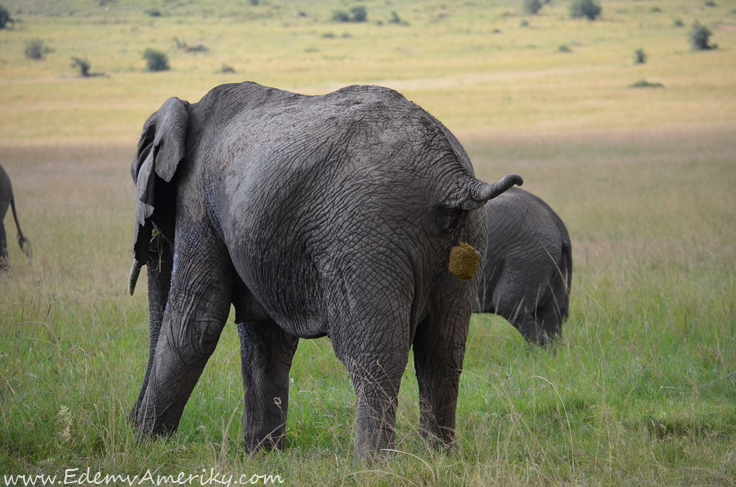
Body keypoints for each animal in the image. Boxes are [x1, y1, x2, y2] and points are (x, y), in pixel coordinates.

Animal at [129, 82, 528, 464]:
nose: (130, 422)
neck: (188, 107)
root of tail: (453, 175)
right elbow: (265, 336)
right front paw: (263, 458)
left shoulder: (198, 198)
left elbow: (196, 323)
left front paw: (147, 448)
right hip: (466, 235)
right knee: (442, 353)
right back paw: (440, 458)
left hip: (364, 234)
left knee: (372, 354)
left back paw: (370, 466)